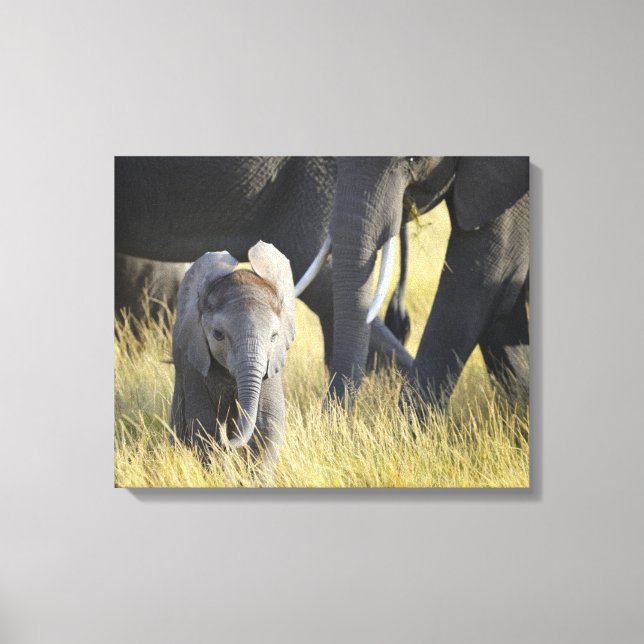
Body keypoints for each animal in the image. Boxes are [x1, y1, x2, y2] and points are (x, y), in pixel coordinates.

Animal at [171, 242, 295, 478]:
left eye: (274, 337)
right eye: (218, 335)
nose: (230, 438)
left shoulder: (271, 363)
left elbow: (268, 421)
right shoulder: (193, 359)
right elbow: (204, 424)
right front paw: (223, 477)